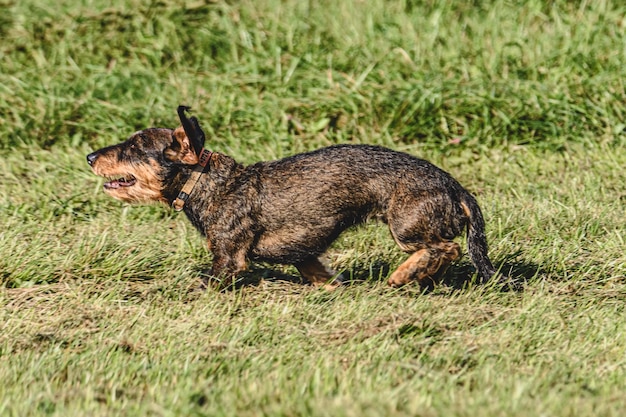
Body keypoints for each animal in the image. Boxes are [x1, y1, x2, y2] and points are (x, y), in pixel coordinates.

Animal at [86, 106, 498, 290]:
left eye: (134, 146)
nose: (90, 157)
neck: (211, 184)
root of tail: (456, 188)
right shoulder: (306, 255)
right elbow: (323, 276)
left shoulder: (229, 259)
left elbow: (203, 280)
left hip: (406, 225)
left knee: (446, 248)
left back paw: (402, 274)